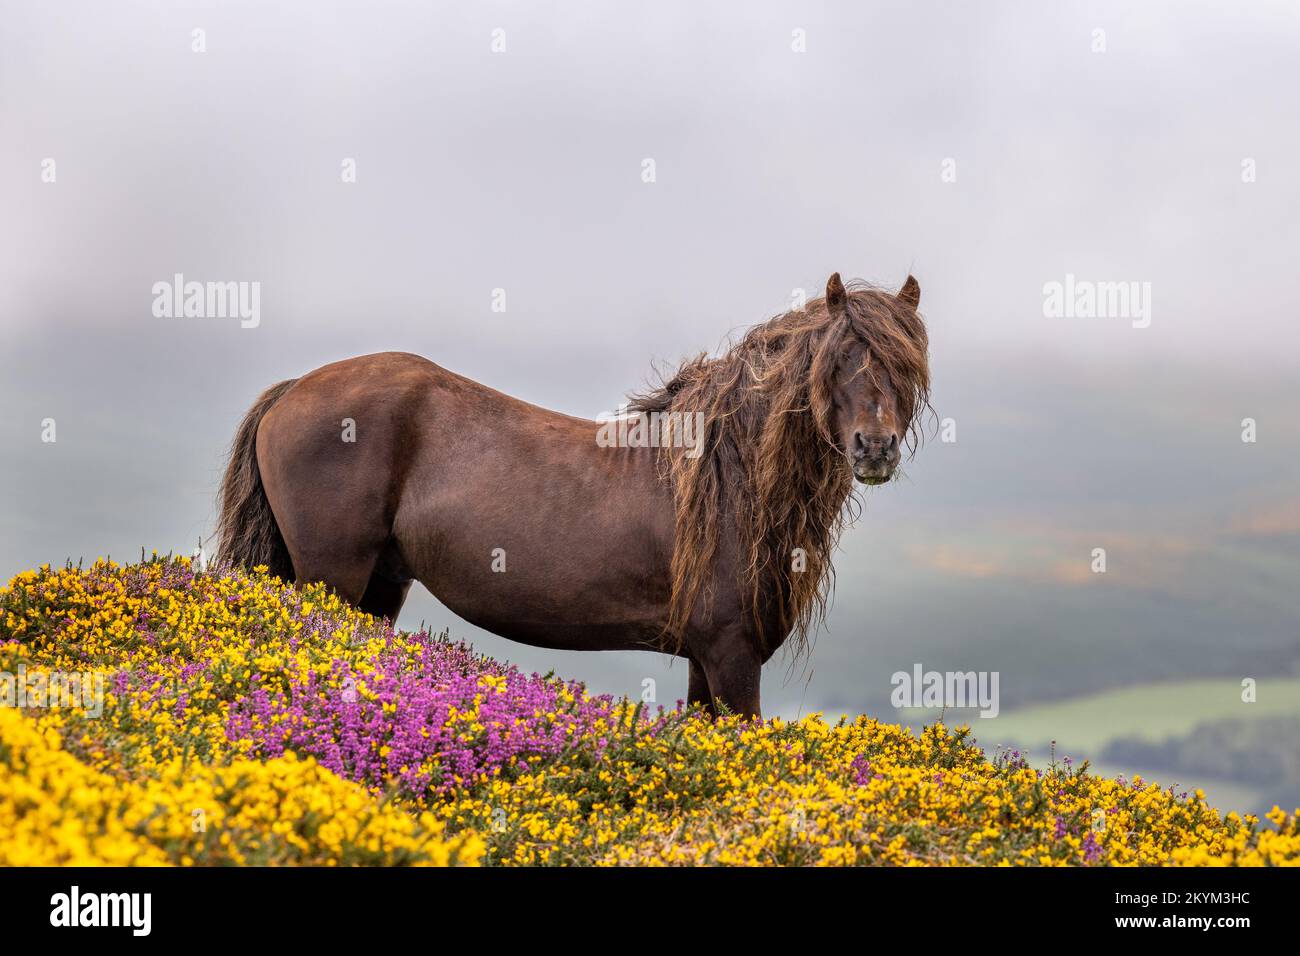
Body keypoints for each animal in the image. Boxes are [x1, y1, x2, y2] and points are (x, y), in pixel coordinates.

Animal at [216, 273, 932, 718]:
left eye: (907, 365)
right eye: (836, 360)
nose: (875, 447)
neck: (728, 478)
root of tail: (293, 389)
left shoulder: (708, 658)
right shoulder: (732, 655)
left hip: (380, 586)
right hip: (329, 578)